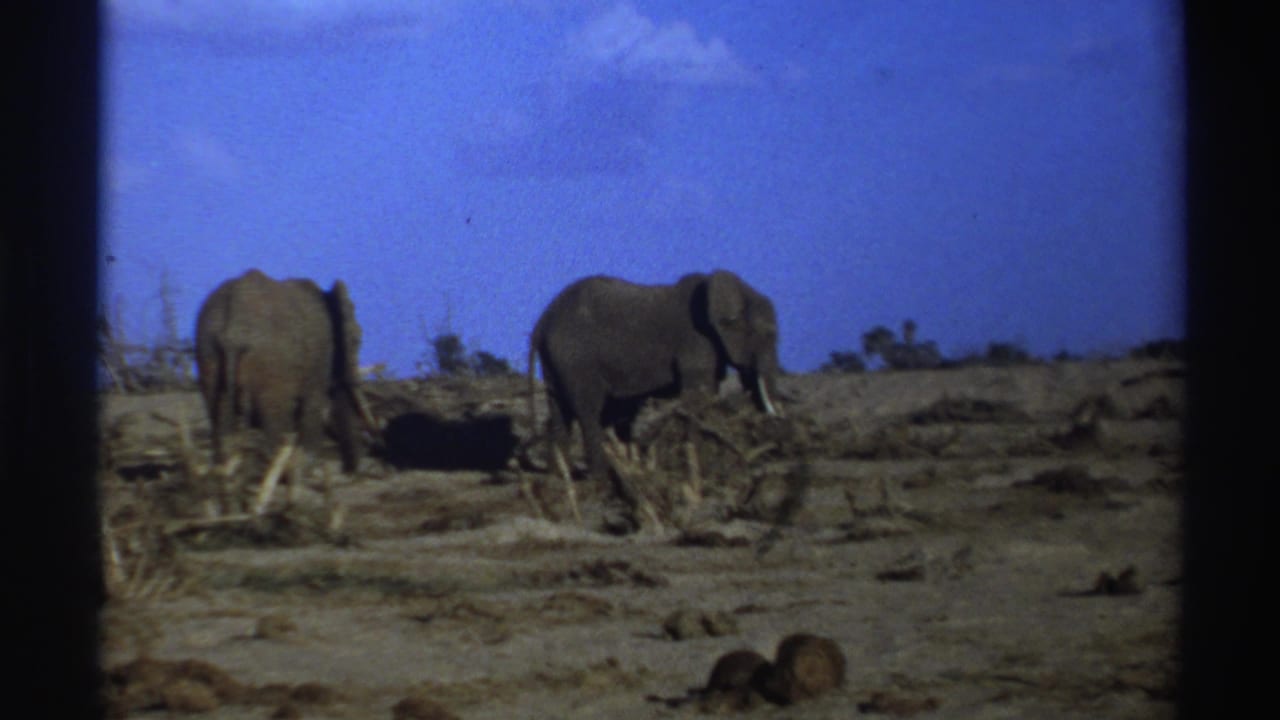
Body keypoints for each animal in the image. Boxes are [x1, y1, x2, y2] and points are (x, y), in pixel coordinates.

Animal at [194, 269, 377, 475]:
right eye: (357, 340)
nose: (351, 470)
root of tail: (235, 325)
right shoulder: (321, 355)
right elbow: (314, 404)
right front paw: (308, 469)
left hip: (207, 348)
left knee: (218, 413)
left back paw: (225, 469)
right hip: (271, 363)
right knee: (273, 414)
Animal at [527, 270, 781, 488]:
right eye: (768, 335)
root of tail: (542, 322)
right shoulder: (695, 341)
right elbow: (699, 396)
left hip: (556, 362)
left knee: (560, 413)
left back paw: (560, 478)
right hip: (576, 360)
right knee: (589, 412)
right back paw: (600, 480)